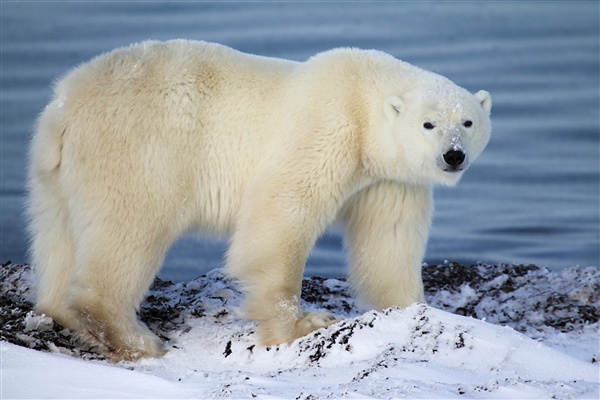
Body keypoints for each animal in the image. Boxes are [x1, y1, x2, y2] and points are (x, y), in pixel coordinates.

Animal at [25, 39, 490, 360]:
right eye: (428, 124)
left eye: (468, 121)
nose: (453, 155)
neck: (363, 98)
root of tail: (63, 110)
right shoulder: (327, 127)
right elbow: (282, 211)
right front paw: (302, 323)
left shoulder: (389, 178)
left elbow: (389, 240)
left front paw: (411, 308)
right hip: (136, 149)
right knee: (129, 229)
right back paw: (134, 337)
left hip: (54, 176)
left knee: (57, 234)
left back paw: (59, 308)